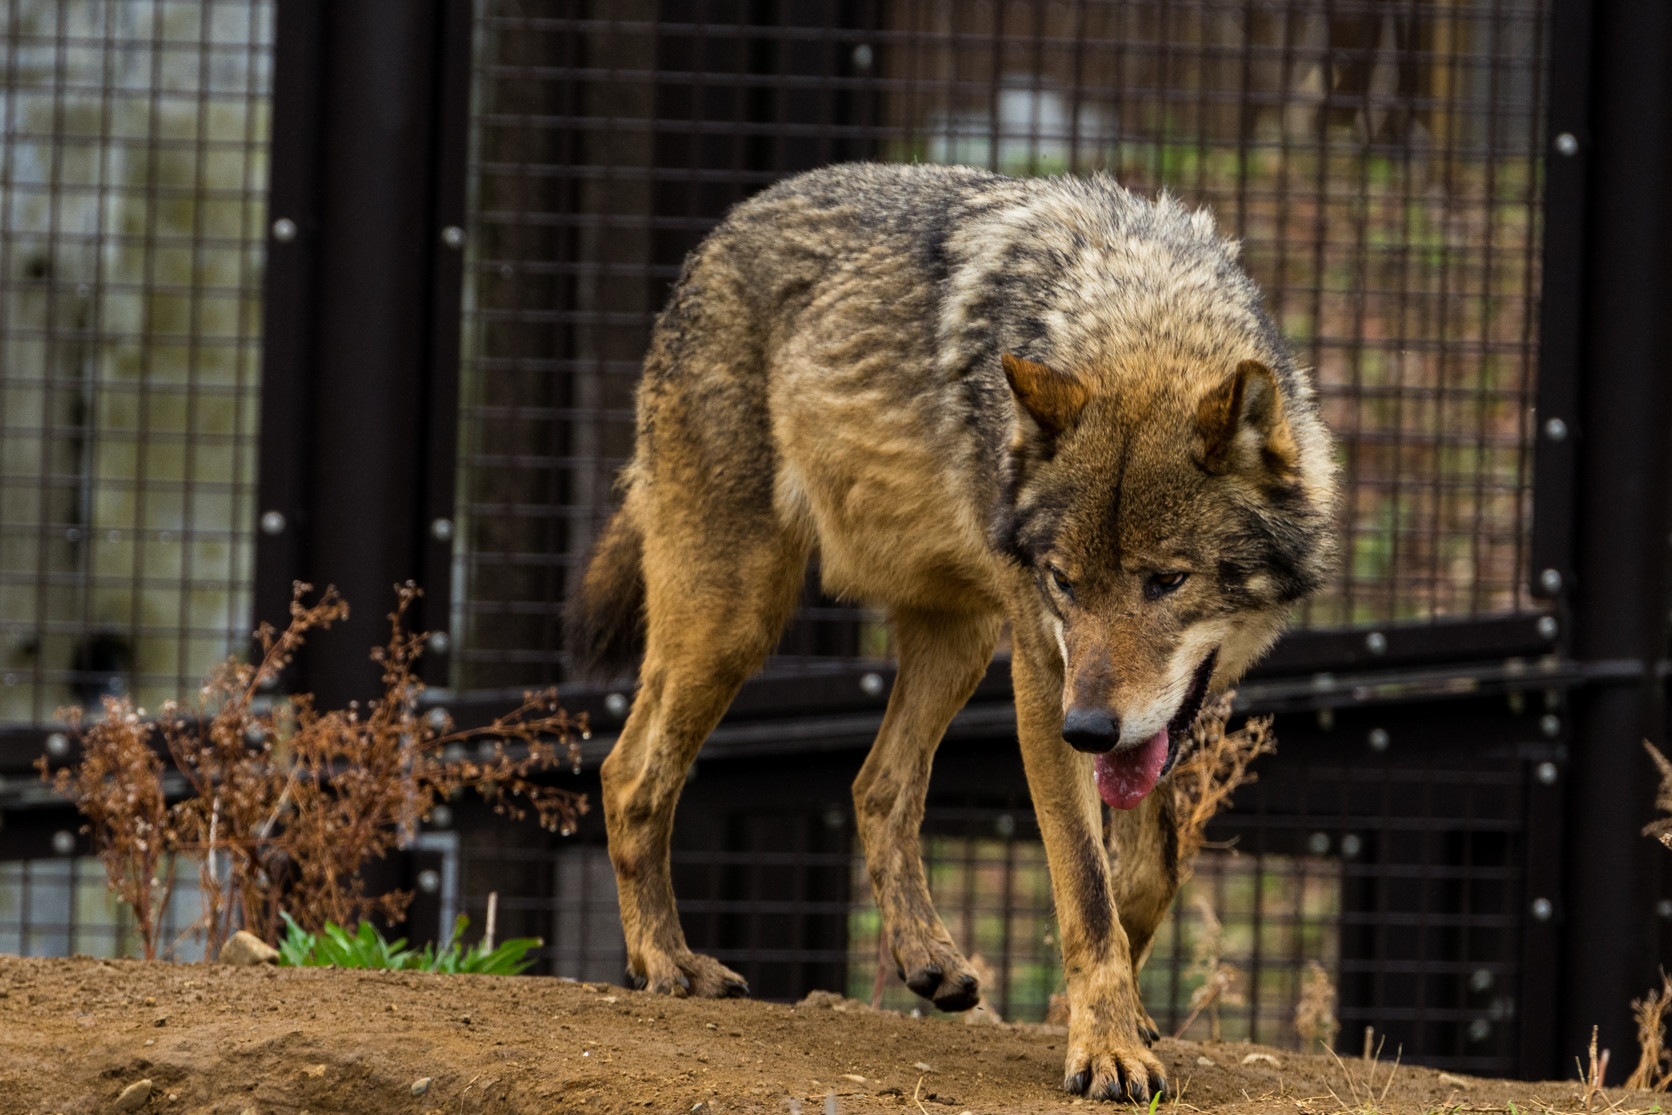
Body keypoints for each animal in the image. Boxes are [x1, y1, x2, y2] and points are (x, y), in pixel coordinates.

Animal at [564, 162, 1337, 1102]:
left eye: (1166, 580)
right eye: (1064, 582)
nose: (1089, 730)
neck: (1135, 308)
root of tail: (719, 235)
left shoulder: (1149, 715)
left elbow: (1144, 871)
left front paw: (1121, 1011)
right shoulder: (1044, 674)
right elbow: (1085, 885)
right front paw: (1106, 1045)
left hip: (958, 640)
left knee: (876, 785)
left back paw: (927, 957)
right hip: (738, 617)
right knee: (629, 773)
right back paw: (666, 961)